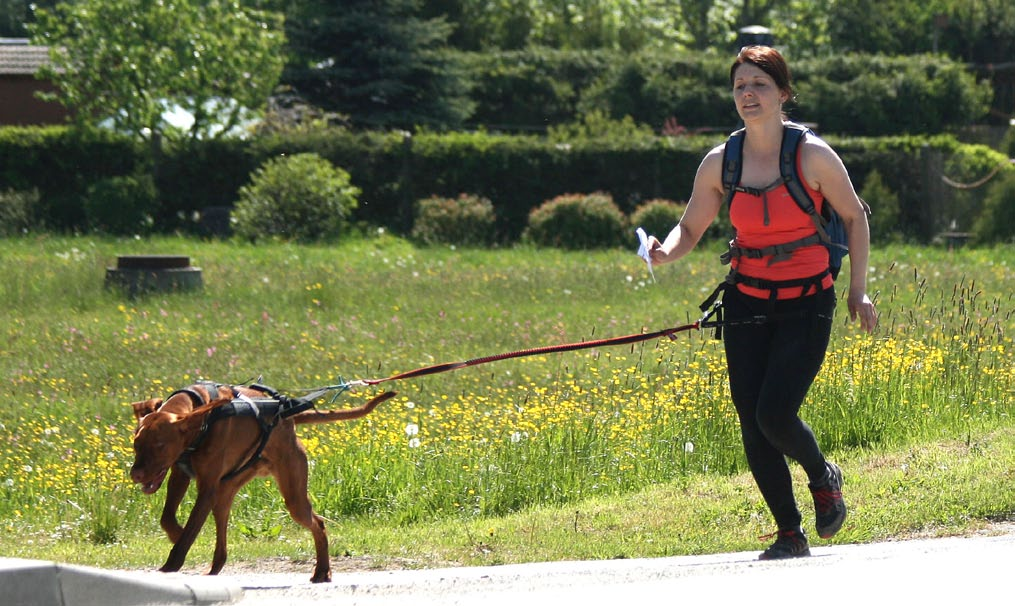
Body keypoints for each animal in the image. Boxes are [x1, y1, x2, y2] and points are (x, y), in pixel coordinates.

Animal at [127, 383, 395, 580]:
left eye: (160, 445)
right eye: (136, 443)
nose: (135, 475)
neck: (202, 414)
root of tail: (287, 418)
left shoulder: (207, 487)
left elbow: (189, 532)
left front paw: (170, 565)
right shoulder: (179, 474)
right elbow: (167, 518)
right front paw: (176, 534)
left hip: (292, 495)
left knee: (318, 523)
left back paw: (321, 572)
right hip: (227, 490)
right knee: (222, 534)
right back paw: (215, 568)